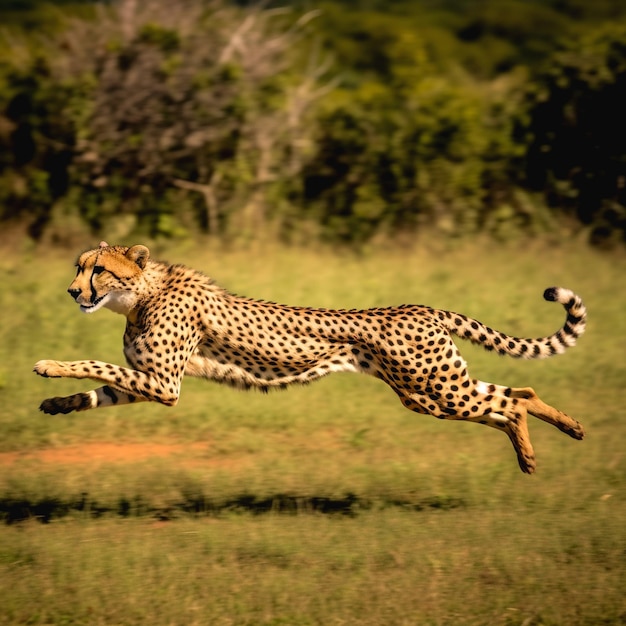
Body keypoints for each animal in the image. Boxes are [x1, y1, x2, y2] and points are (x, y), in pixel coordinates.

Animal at [33, 241, 584, 470]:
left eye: (98, 270)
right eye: (79, 266)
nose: (71, 291)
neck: (141, 294)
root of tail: (421, 306)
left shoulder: (165, 385)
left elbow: (93, 365)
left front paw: (48, 365)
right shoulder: (151, 382)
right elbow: (99, 390)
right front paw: (56, 404)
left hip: (436, 387)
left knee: (512, 401)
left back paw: (535, 451)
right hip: (429, 392)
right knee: (516, 393)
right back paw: (562, 434)